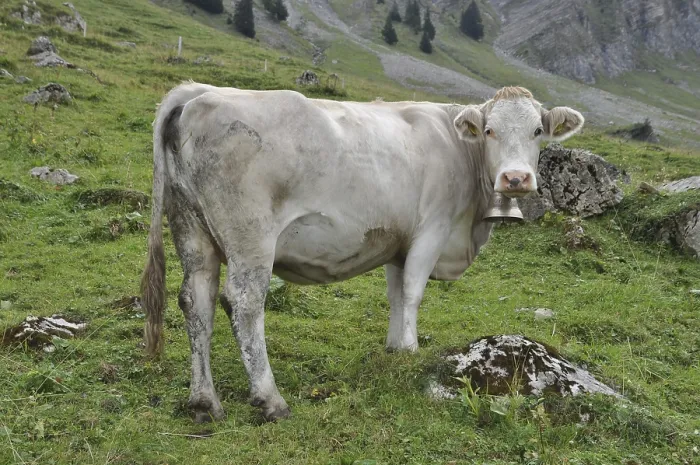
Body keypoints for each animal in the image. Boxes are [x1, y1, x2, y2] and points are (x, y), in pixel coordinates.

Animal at [140, 83, 584, 423]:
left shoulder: (398, 243)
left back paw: (204, 403)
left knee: (197, 301)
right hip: (251, 237)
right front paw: (411, 350)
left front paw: (393, 348)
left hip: (192, 230)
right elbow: (413, 292)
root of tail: (198, 92)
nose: (515, 178)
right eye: (490, 130)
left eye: (537, 131)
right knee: (244, 304)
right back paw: (270, 400)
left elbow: (396, 294)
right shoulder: (431, 230)